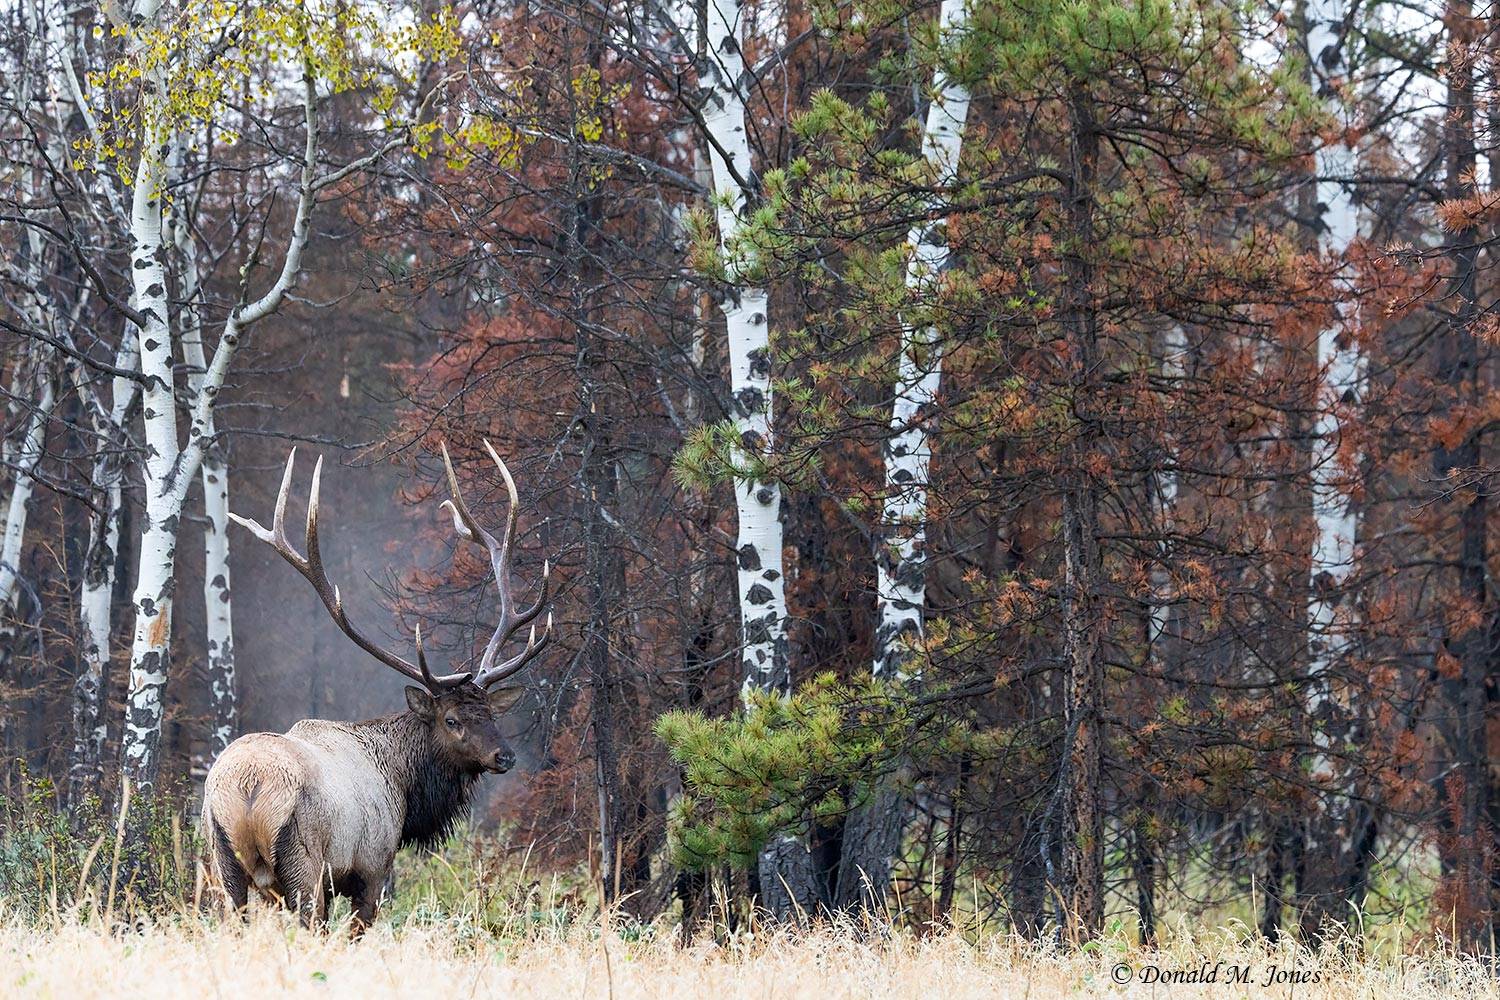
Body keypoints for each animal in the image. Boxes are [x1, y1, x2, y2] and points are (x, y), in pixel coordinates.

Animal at [200, 441, 551, 931]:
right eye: (451, 719)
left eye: (490, 713)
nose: (505, 755)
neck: (405, 789)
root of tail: (248, 788)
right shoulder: (371, 866)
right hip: (303, 862)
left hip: (222, 860)